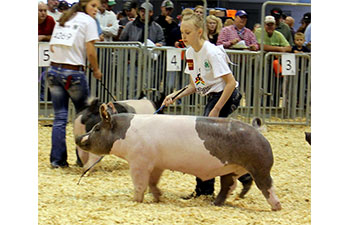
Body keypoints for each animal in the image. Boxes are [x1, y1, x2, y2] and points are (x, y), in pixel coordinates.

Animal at [76, 103, 282, 211]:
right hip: (231, 169)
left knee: (267, 185)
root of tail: (257, 130)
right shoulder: (156, 164)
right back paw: (215, 203)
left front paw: (136, 201)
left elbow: (140, 183)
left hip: (260, 166)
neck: (125, 133)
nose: (78, 138)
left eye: (96, 128)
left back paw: (276, 207)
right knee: (228, 186)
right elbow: (153, 181)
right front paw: (158, 197)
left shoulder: (139, 161)